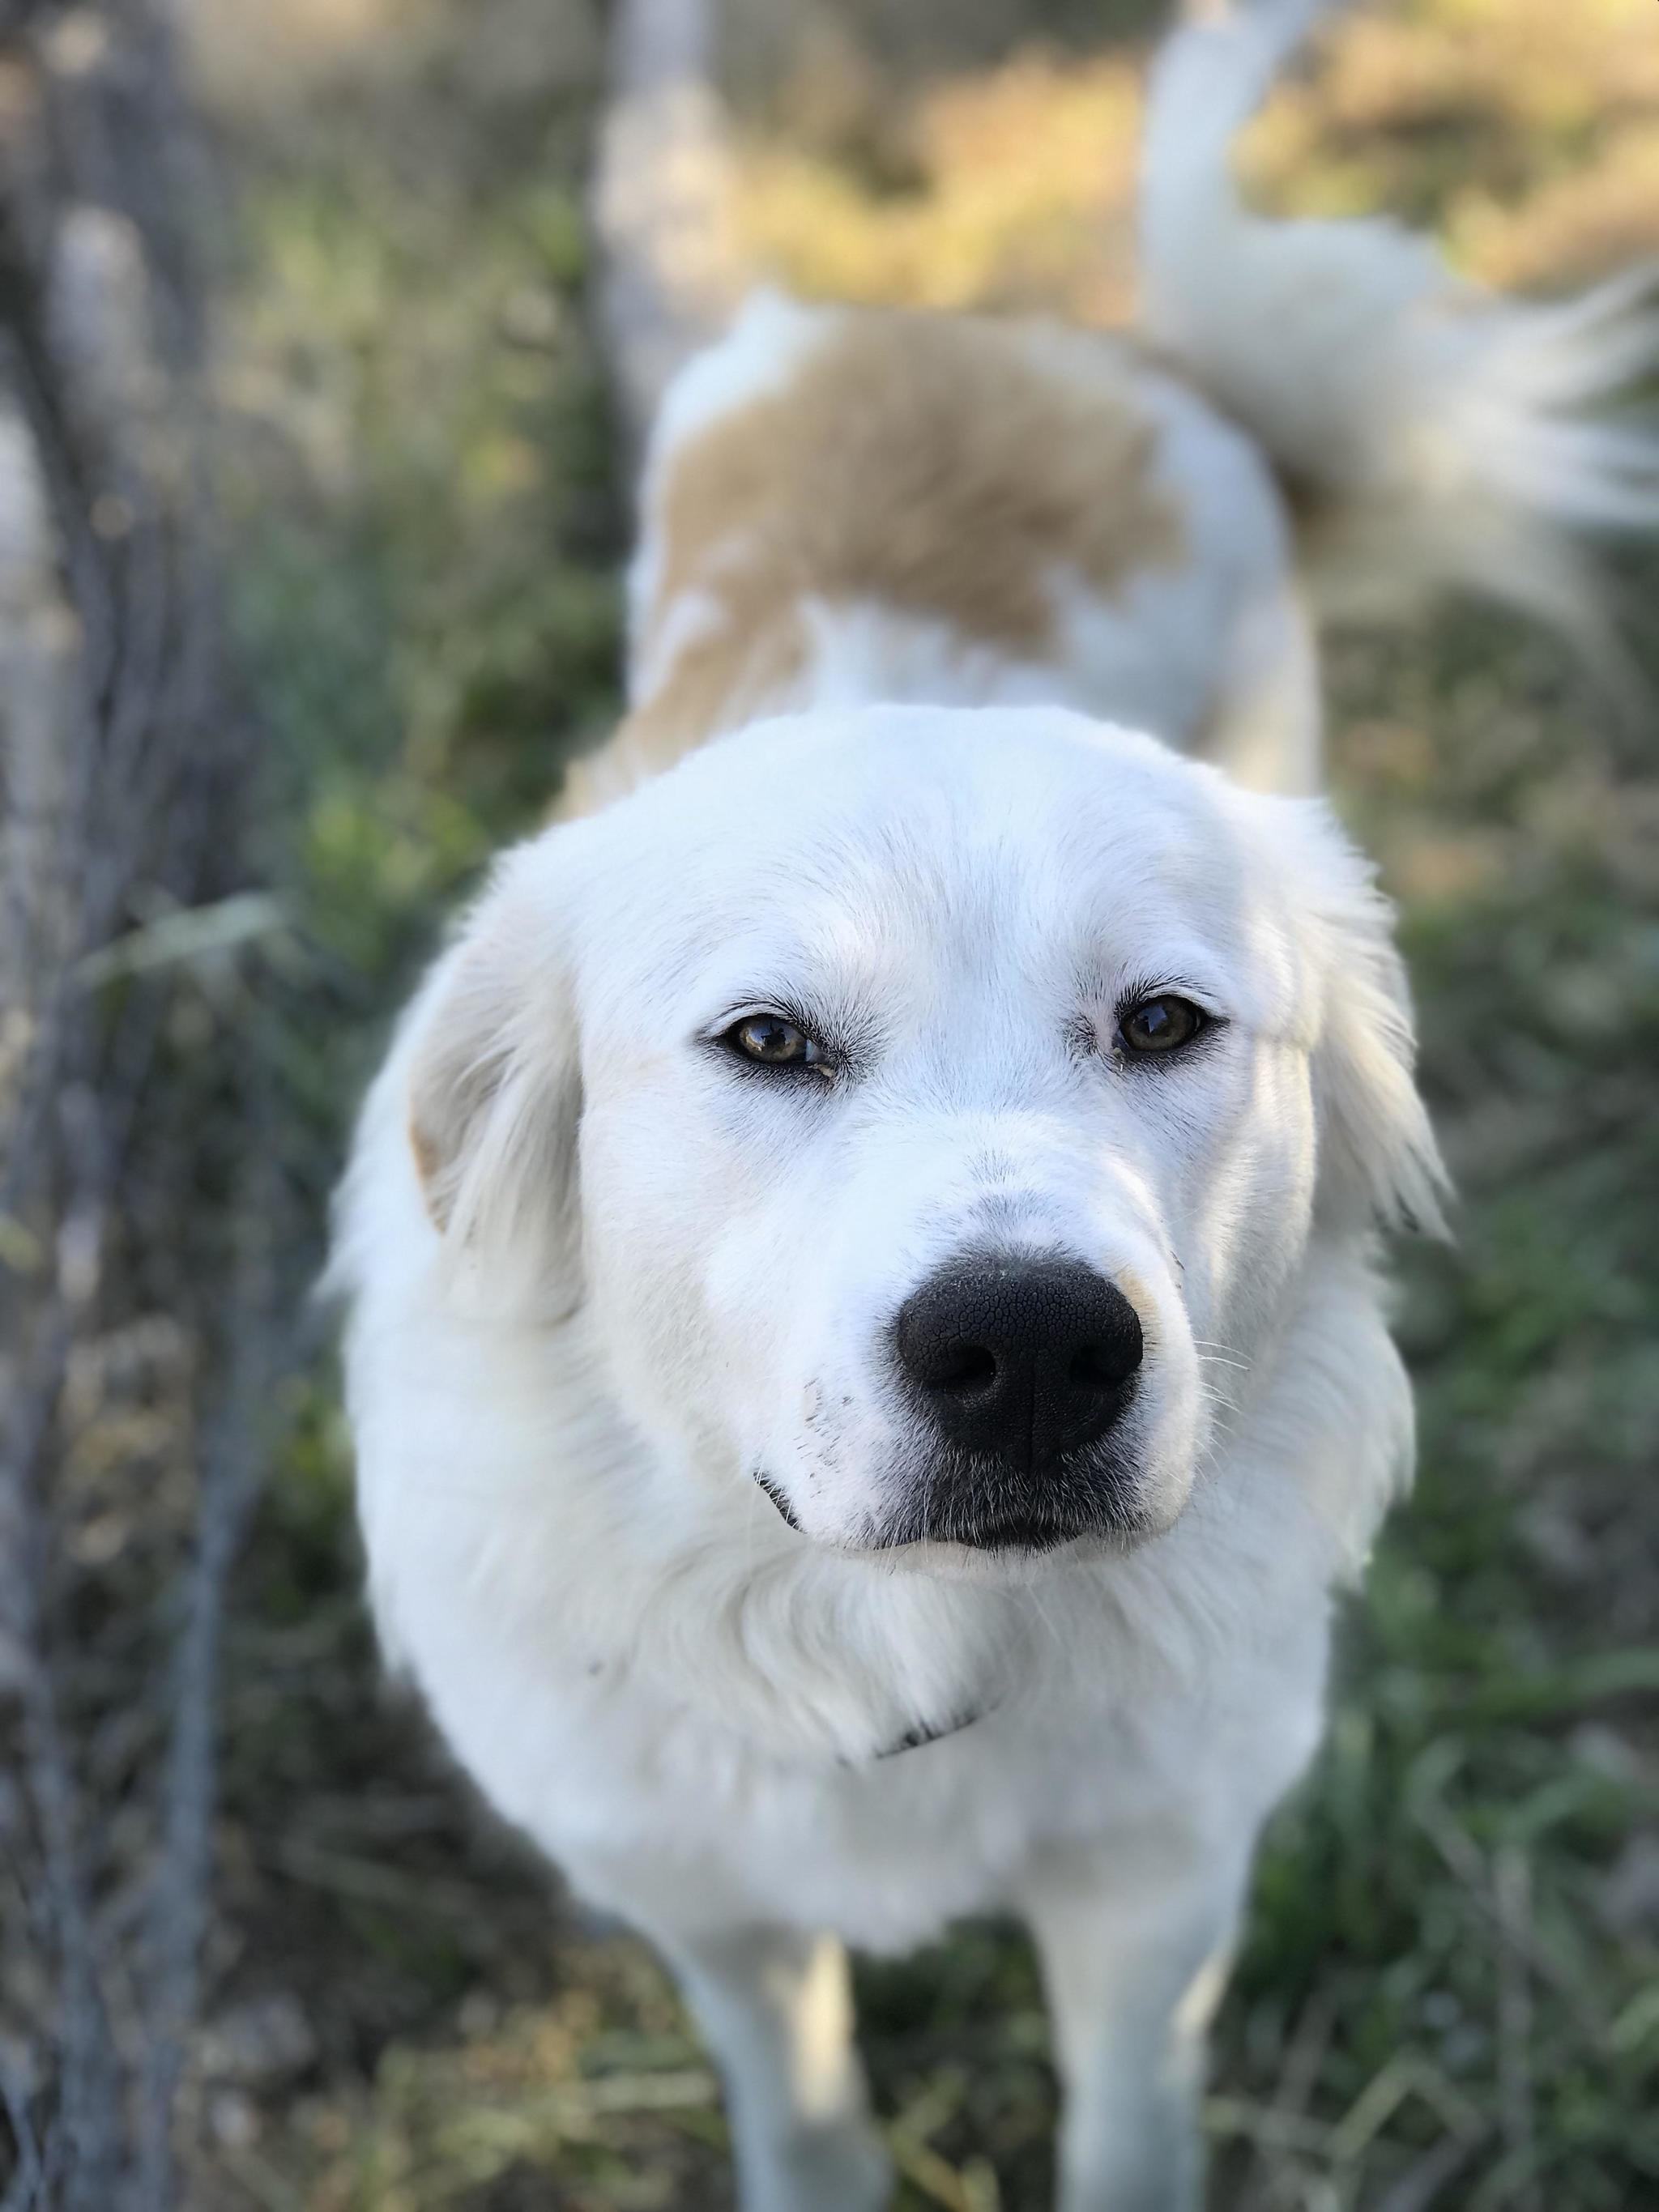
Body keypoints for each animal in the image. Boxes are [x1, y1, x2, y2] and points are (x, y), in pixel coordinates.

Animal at [331, 8, 1654, 2203]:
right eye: (767, 1042)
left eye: (1163, 1022)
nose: (1030, 1350)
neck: (907, 1634)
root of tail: (1074, 348)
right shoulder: (709, 1906)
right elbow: (801, 2106)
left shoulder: (1159, 1889)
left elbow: (1122, 2131)